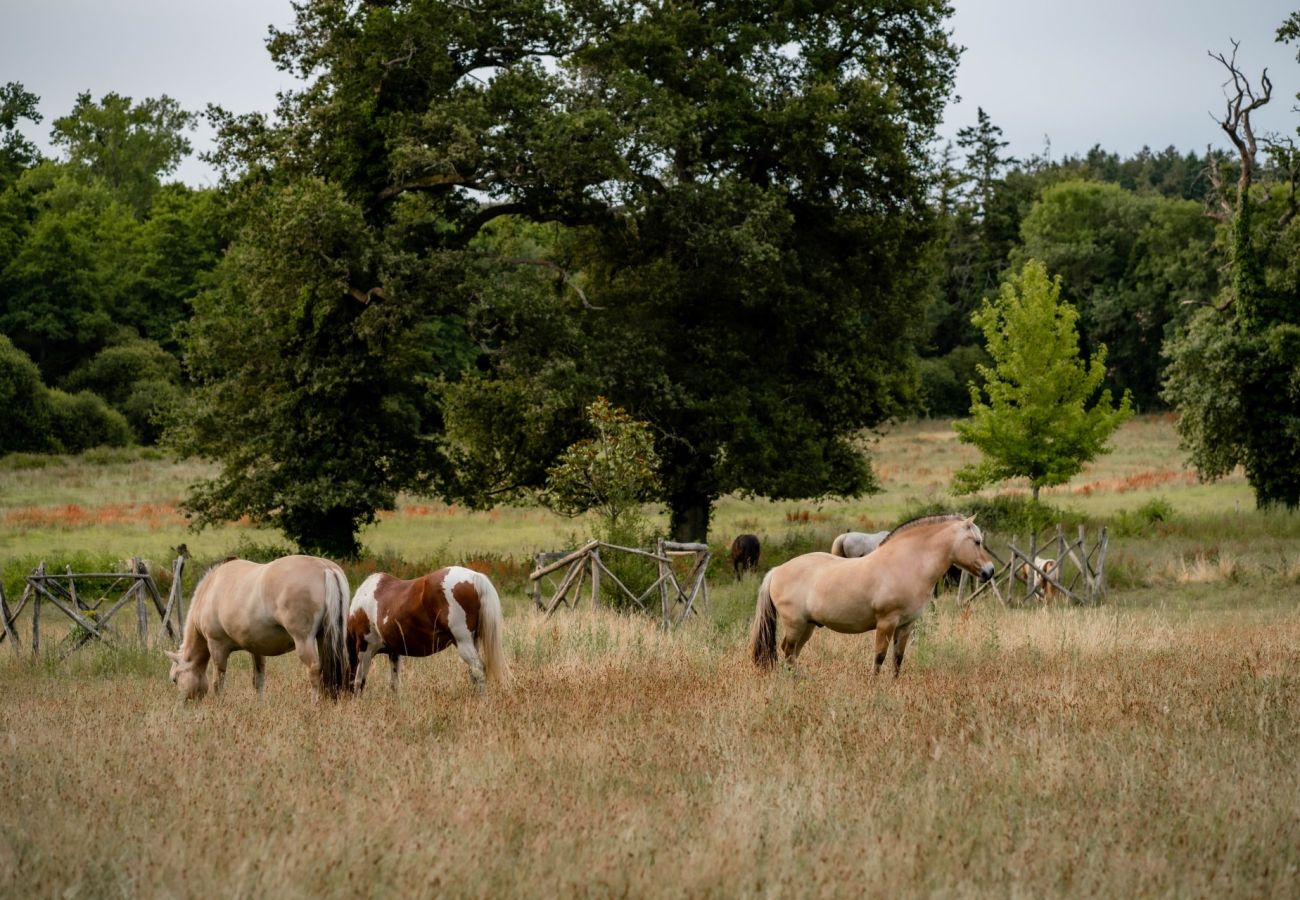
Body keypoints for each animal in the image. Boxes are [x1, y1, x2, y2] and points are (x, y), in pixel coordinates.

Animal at [165, 556, 353, 702]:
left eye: (174, 679)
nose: (183, 705)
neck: (210, 589)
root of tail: (325, 567)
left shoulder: (216, 645)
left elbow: (218, 681)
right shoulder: (256, 649)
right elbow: (258, 679)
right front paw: (260, 704)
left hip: (304, 641)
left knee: (314, 669)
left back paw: (315, 704)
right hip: (326, 637)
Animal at [348, 567, 509, 691]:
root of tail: (474, 577)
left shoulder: (365, 649)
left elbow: (358, 683)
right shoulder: (394, 652)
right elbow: (394, 684)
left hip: (463, 643)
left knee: (477, 670)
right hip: (473, 642)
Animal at [754, 512, 993, 676]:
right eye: (977, 541)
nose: (989, 571)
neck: (906, 564)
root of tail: (777, 570)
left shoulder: (905, 625)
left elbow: (898, 659)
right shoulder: (886, 623)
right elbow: (879, 657)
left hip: (808, 626)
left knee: (792, 654)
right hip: (795, 624)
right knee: (787, 650)